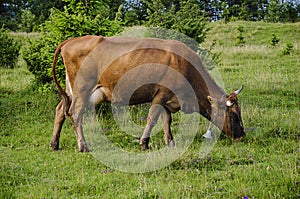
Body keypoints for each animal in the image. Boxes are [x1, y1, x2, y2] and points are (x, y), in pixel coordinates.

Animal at [50, 35, 245, 152]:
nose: (242, 137)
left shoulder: (169, 99)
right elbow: (152, 119)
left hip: (73, 91)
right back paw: (83, 146)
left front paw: (170, 143)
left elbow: (167, 121)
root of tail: (70, 41)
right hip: (82, 88)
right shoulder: (160, 95)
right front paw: (144, 143)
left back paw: (54, 144)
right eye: (234, 116)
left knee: (60, 110)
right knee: (75, 113)